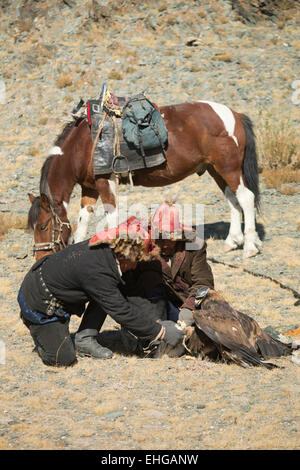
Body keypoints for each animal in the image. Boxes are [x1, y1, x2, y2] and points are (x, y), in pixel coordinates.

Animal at [28, 98, 262, 260]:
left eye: (43, 227)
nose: (41, 257)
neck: (85, 144)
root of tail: (234, 115)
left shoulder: (106, 183)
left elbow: (112, 218)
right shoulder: (89, 188)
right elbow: (83, 221)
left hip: (229, 168)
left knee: (246, 198)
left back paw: (250, 246)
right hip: (216, 170)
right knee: (232, 200)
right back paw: (233, 240)